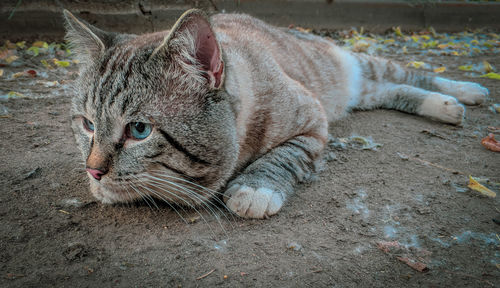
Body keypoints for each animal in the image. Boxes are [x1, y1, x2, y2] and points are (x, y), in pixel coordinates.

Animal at [62, 9, 488, 219]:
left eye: (139, 130)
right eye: (88, 124)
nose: (92, 171)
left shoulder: (314, 124)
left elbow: (283, 156)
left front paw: (255, 189)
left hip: (357, 70)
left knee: (410, 73)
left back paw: (466, 93)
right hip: (361, 92)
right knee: (393, 90)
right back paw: (447, 107)